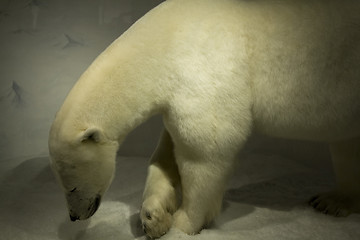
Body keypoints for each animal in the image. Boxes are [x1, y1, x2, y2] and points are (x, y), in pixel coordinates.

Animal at [48, 0, 360, 238]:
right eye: (62, 184)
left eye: (70, 184)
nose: (74, 216)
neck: (165, 42)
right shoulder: (178, 95)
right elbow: (167, 154)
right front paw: (153, 217)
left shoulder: (203, 72)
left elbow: (205, 154)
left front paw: (182, 224)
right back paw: (333, 200)